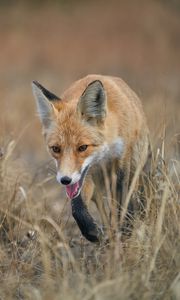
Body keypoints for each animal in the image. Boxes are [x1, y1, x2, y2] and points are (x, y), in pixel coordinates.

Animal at [31, 75, 150, 241]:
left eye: (82, 147)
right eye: (55, 149)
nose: (65, 180)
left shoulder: (122, 165)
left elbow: (121, 204)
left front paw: (123, 232)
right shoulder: (85, 176)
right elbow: (77, 208)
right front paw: (92, 231)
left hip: (136, 168)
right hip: (96, 186)